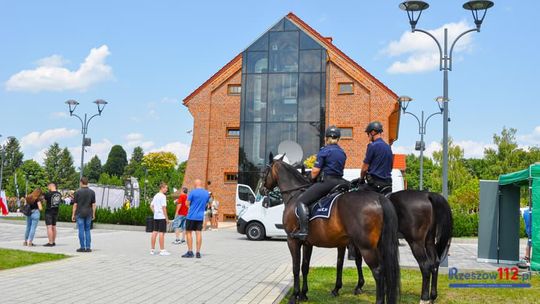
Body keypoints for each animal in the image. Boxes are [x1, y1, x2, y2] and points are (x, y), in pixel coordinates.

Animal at [262, 159, 400, 304]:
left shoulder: (292, 241)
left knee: (378, 272)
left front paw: (295, 296)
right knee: (385, 270)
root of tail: (379, 198)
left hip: (366, 247)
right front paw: (304, 294)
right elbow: (306, 267)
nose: (261, 189)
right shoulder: (308, 243)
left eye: (263, 172)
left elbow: (295, 268)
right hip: (378, 245)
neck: (295, 195)